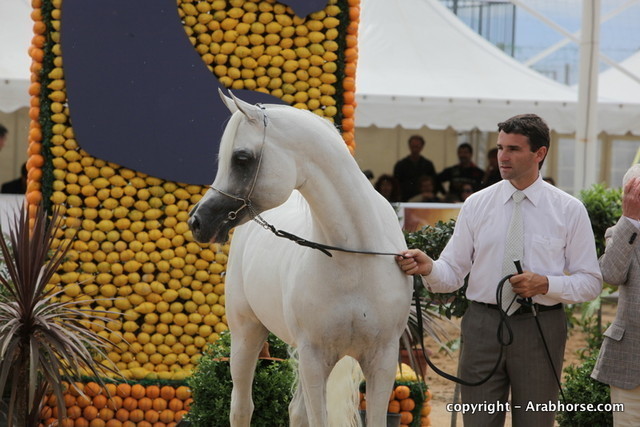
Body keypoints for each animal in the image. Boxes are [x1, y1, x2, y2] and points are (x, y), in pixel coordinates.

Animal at [188, 90, 412, 426]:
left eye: (241, 158)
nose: (198, 222)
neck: (354, 259)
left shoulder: (382, 360)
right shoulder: (313, 358)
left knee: (295, 410)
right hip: (246, 335)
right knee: (241, 407)